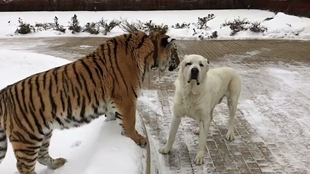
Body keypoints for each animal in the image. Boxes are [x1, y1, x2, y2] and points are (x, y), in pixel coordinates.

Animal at [0, 30, 179, 173]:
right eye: (175, 51)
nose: (178, 63)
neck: (148, 51)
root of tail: (4, 92)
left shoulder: (115, 101)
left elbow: (115, 117)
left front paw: (111, 122)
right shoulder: (126, 98)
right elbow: (130, 122)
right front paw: (138, 138)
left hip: (43, 132)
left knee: (42, 156)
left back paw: (57, 163)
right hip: (27, 139)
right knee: (23, 166)